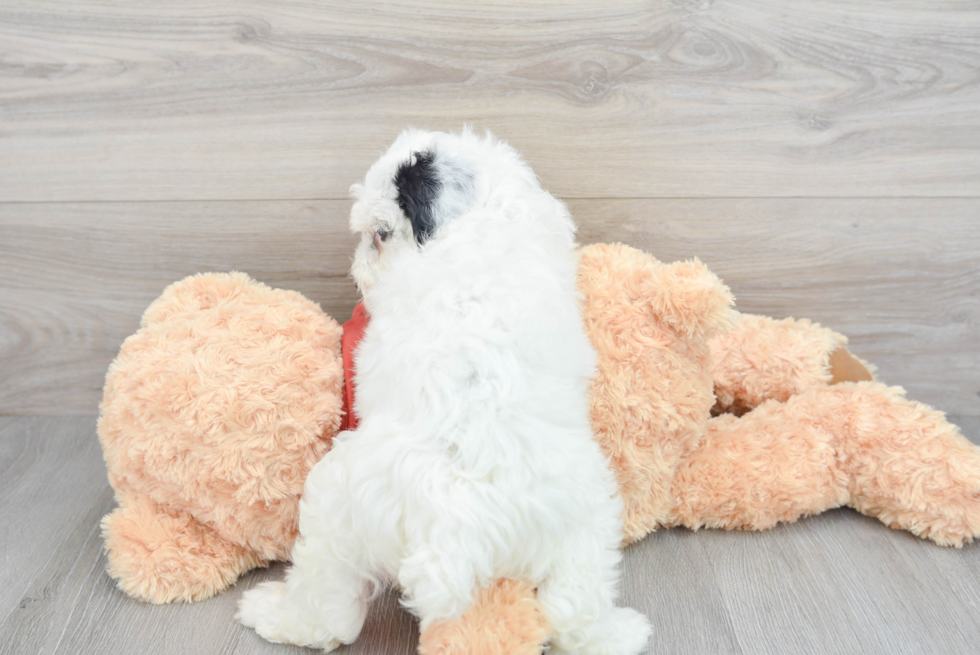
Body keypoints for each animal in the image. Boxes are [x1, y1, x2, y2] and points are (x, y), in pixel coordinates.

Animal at [236, 129, 652, 655]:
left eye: (381, 233)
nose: (357, 272)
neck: (483, 215)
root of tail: (459, 531)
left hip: (337, 505)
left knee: (328, 607)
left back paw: (273, 614)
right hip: (588, 519)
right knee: (574, 608)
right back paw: (620, 632)